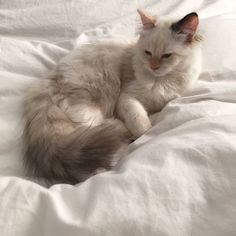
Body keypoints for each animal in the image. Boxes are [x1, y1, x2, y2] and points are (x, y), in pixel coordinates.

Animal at [23, 9, 202, 184]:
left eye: (167, 55)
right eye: (148, 53)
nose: (154, 67)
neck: (161, 81)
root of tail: (47, 82)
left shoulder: (167, 99)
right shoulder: (126, 98)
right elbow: (140, 122)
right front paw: (144, 134)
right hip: (93, 107)